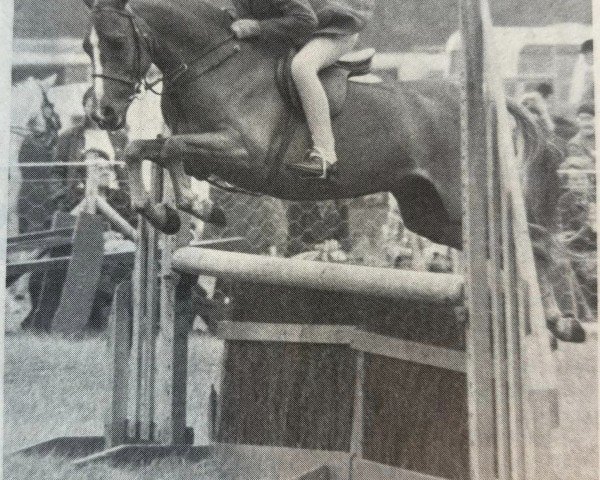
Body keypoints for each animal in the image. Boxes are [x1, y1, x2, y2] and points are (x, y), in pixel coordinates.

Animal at [82, 0, 584, 342]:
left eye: (117, 42)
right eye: (88, 47)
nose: (103, 114)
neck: (213, 63)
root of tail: (484, 103)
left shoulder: (246, 153)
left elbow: (164, 147)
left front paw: (184, 207)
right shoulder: (205, 149)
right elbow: (149, 149)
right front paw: (171, 210)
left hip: (462, 203)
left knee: (541, 244)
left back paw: (565, 323)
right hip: (429, 213)